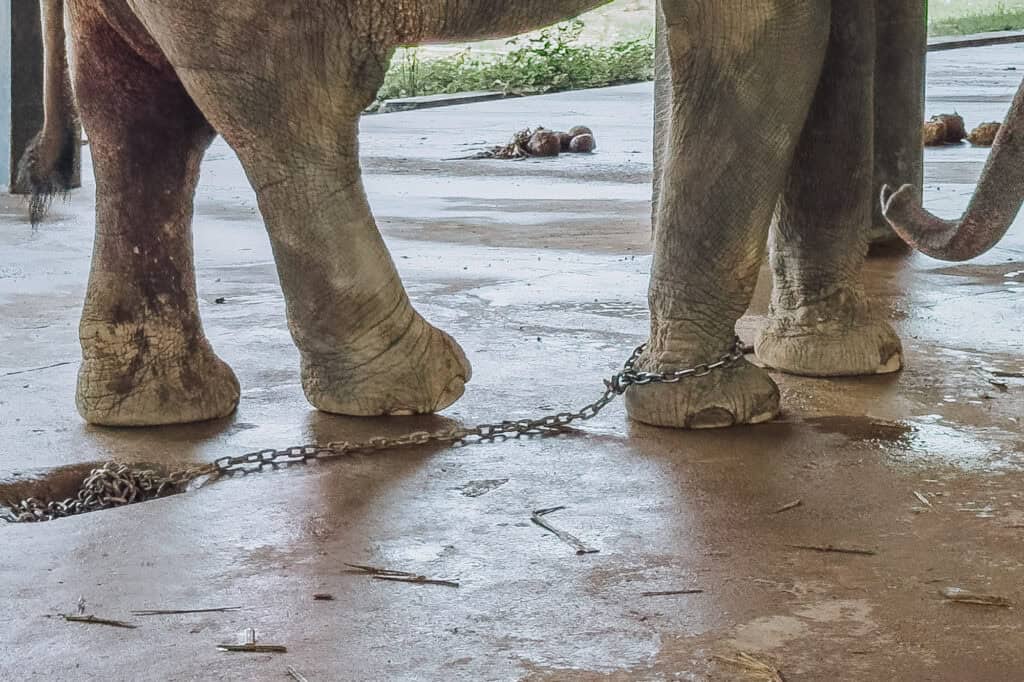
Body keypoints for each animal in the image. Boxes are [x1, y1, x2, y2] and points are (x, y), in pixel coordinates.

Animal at [16, 0, 1023, 429]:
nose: (902, 199)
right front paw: (716, 413)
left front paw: (846, 363)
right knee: (281, 94)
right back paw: (414, 387)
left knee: (139, 108)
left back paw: (153, 412)